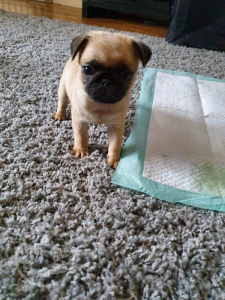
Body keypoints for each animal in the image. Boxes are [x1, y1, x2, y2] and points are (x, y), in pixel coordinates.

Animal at [53, 30, 151, 169]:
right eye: (87, 69)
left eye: (126, 75)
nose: (106, 81)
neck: (101, 104)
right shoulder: (79, 121)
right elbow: (80, 136)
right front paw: (81, 150)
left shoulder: (116, 126)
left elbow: (115, 144)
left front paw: (114, 159)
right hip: (63, 88)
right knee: (62, 102)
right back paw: (59, 115)